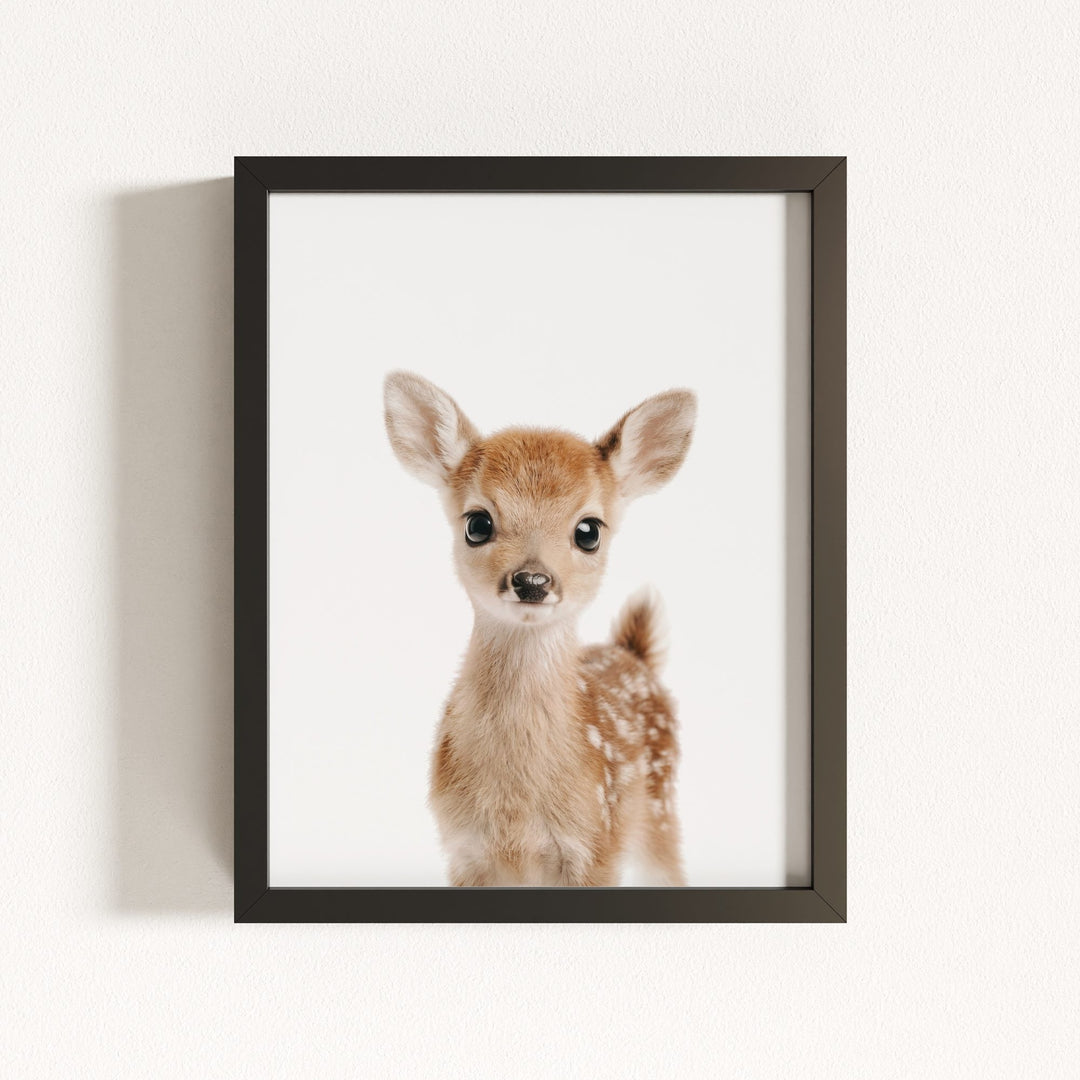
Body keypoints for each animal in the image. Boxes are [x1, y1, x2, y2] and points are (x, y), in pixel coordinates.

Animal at [383, 371, 696, 886]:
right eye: (477, 523)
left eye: (589, 531)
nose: (532, 581)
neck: (516, 813)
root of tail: (634, 653)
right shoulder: (463, 850)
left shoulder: (596, 846)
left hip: (660, 810)